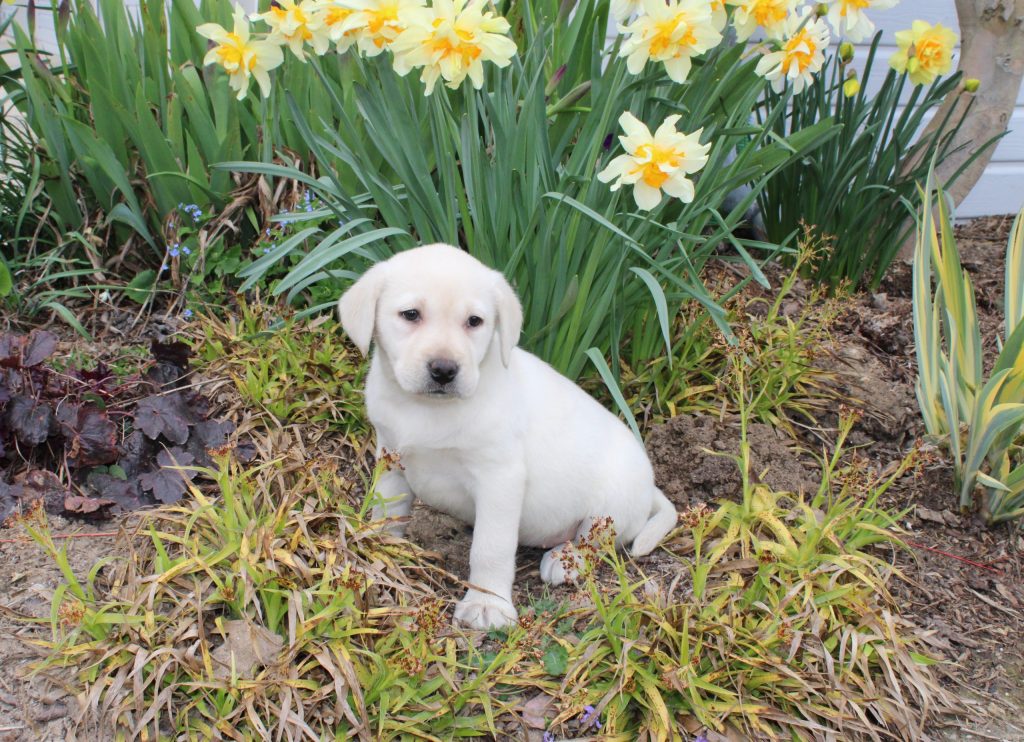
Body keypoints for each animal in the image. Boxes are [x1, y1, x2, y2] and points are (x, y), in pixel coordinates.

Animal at [338, 244, 677, 629]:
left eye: (474, 321)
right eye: (410, 314)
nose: (444, 370)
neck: (427, 409)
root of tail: (650, 488)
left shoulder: (499, 479)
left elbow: (490, 548)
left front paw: (488, 604)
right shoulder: (391, 456)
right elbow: (388, 507)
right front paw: (379, 549)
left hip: (608, 508)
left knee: (598, 543)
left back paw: (566, 559)